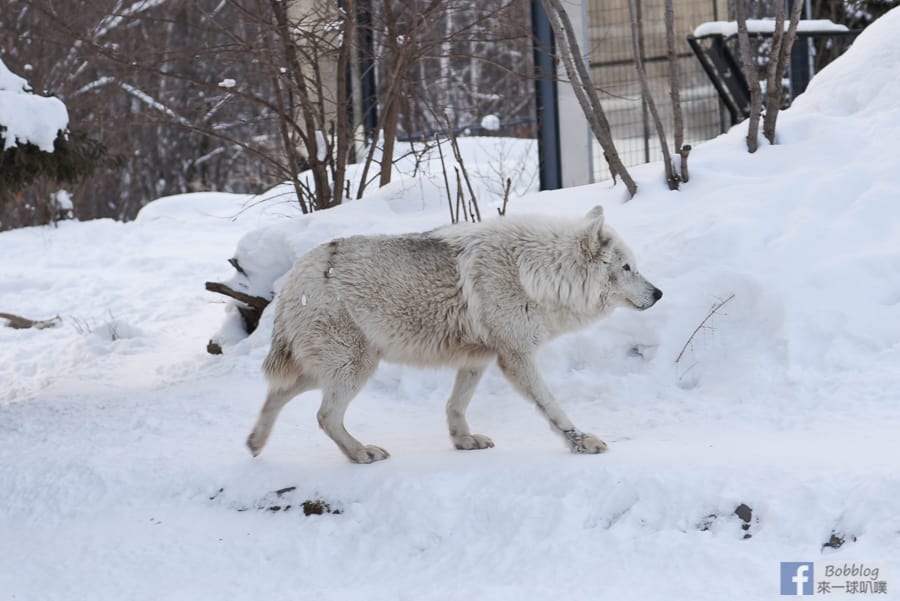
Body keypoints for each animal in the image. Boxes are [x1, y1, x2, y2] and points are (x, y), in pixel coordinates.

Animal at [246, 204, 660, 462]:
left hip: (333, 368)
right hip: (354, 368)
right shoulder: (517, 357)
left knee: (277, 394)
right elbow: (551, 406)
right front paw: (580, 442)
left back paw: (254, 444)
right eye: (627, 267)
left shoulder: (478, 358)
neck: (536, 273)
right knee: (325, 416)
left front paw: (464, 441)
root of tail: (293, 275)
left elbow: (455, 405)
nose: (658, 293)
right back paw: (361, 453)